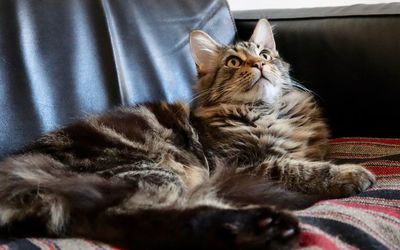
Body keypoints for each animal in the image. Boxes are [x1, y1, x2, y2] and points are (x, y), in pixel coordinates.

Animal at [0, 19, 376, 250]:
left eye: (265, 54)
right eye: (233, 63)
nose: (259, 65)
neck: (267, 112)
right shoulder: (242, 163)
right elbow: (295, 168)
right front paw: (351, 173)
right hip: (148, 170)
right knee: (142, 215)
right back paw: (260, 227)